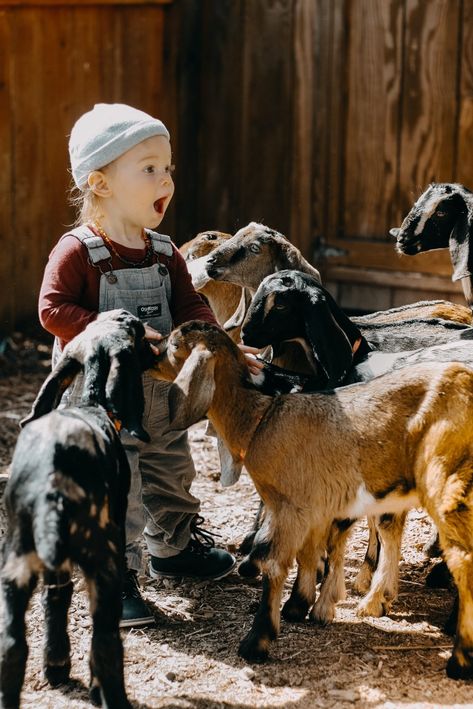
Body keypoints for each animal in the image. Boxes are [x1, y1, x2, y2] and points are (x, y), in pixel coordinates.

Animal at [0, 310, 152, 708]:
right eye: (136, 332)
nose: (128, 314)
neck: (87, 401)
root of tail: (52, 484)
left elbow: (57, 598)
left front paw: (56, 665)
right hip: (104, 562)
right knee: (105, 641)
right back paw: (110, 695)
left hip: (16, 565)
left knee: (12, 645)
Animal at [152, 322, 473, 680]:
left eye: (174, 345)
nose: (148, 354)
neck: (260, 419)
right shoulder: (314, 504)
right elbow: (310, 551)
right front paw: (302, 605)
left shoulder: (289, 505)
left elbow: (275, 561)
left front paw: (258, 640)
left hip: (443, 477)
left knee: (462, 556)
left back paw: (459, 659)